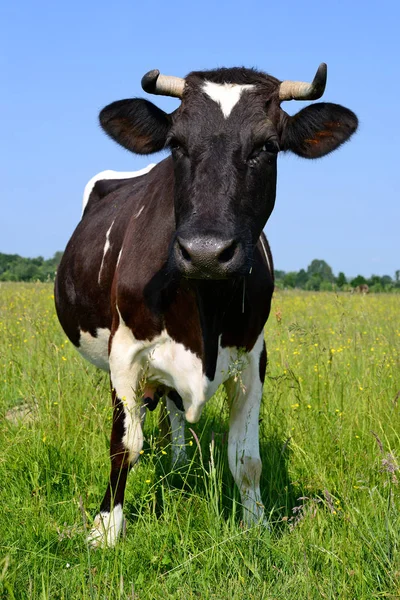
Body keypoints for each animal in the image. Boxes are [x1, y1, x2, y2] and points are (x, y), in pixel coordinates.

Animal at [54, 63, 358, 548]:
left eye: (268, 146)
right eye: (177, 143)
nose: (206, 252)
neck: (203, 308)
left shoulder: (253, 356)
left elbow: (246, 458)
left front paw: (256, 525)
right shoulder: (125, 356)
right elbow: (125, 447)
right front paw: (105, 528)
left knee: (176, 410)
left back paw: (179, 461)